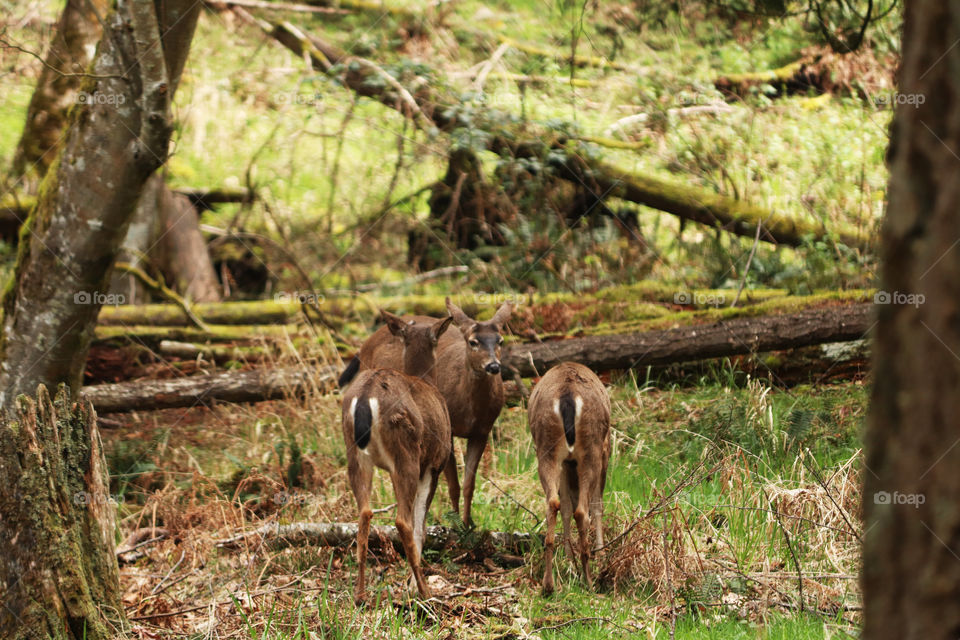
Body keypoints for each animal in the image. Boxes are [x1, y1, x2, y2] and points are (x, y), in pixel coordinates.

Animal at [342, 298, 512, 528]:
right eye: (473, 342)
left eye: (500, 341)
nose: (493, 366)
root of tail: (365, 344)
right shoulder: (446, 434)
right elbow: (453, 485)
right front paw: (454, 523)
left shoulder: (482, 431)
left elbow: (469, 484)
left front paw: (468, 524)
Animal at [342, 308, 454, 604]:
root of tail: (366, 396)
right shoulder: (435, 463)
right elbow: (420, 525)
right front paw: (413, 585)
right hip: (406, 455)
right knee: (402, 521)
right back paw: (425, 592)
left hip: (355, 453)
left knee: (364, 514)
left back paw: (360, 595)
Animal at [528, 360, 612, 596]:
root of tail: (567, 394)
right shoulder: (605, 450)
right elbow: (597, 505)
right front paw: (601, 553)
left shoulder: (566, 463)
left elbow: (565, 505)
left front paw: (567, 557)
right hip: (592, 449)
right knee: (582, 510)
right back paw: (589, 580)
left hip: (546, 447)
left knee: (553, 503)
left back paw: (549, 584)